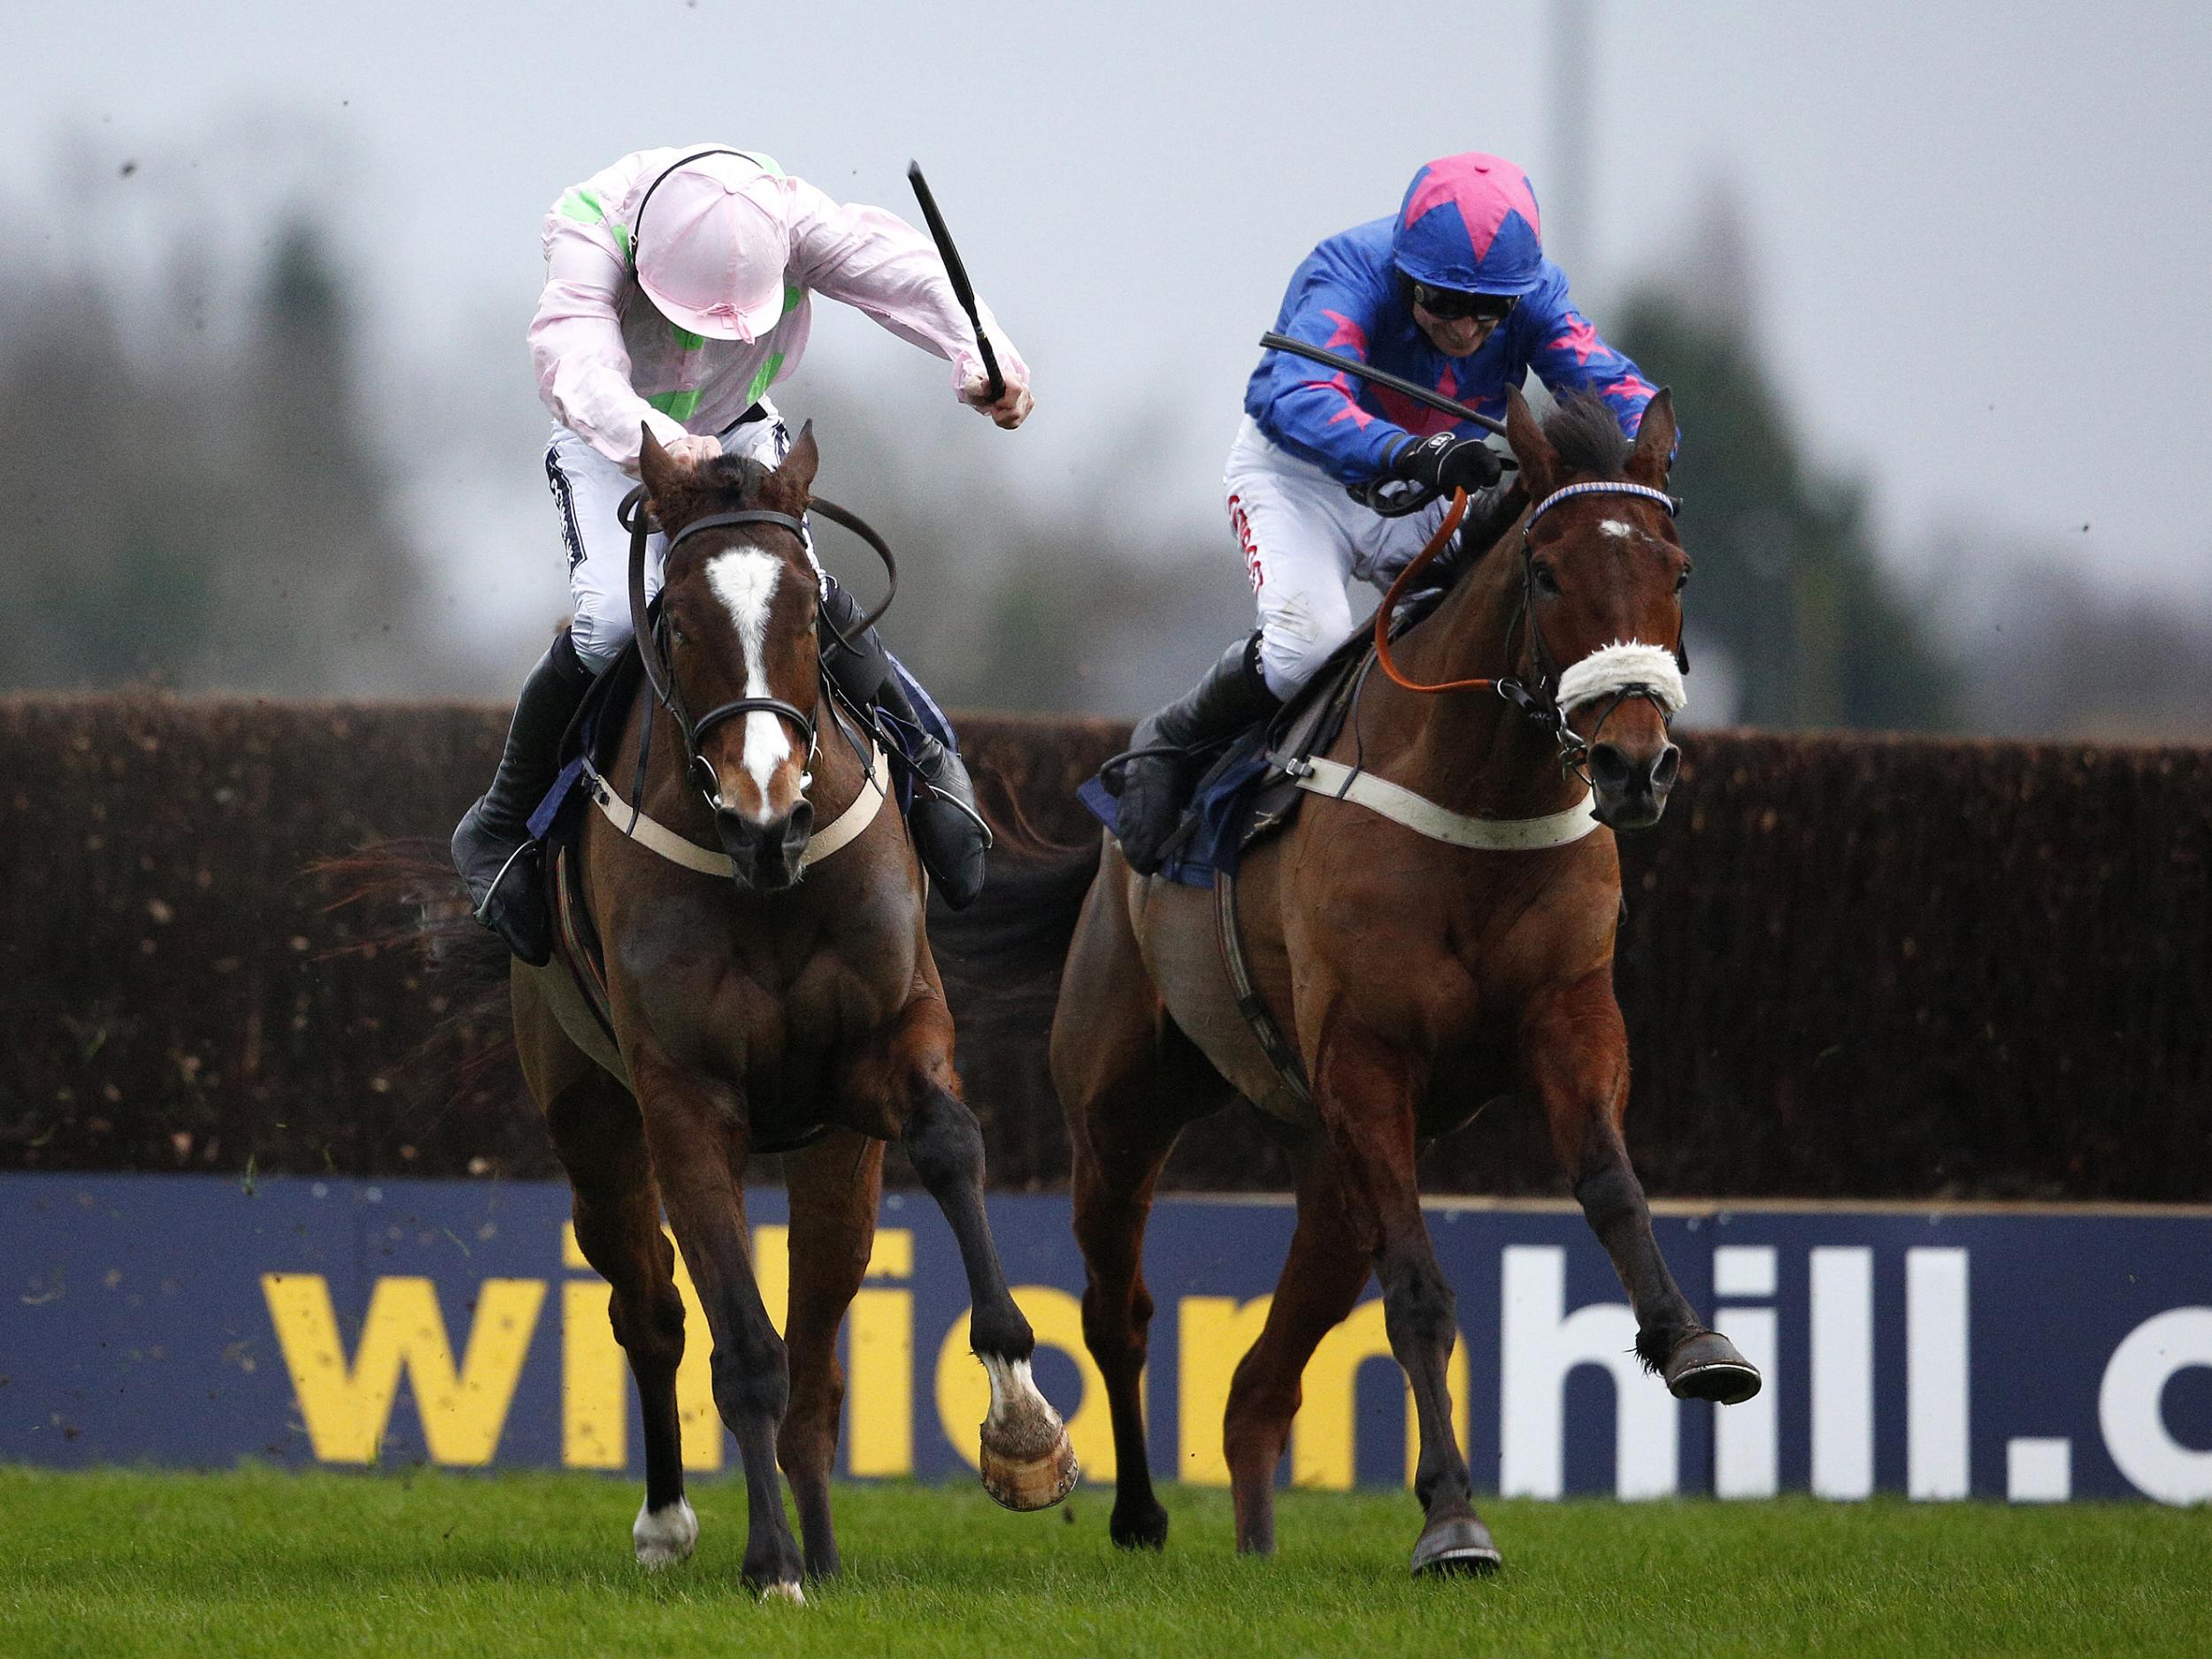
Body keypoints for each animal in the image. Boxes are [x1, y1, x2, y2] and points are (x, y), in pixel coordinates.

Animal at [511, 425, 1079, 1601]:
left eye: (813, 611)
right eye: (679, 621)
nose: (765, 808)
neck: (764, 881)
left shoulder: (887, 1042)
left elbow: (950, 1143)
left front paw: (1023, 1427)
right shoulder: (685, 1104)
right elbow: (740, 1349)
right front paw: (767, 1565)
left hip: (836, 1164)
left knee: (818, 1363)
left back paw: (820, 1543)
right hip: (590, 1119)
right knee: (651, 1310)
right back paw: (674, 1523)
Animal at [1053, 387, 1761, 1575]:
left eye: (1680, 570)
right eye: (1546, 573)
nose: (1633, 766)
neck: (1478, 797)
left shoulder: (1568, 1018)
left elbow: (1614, 1186)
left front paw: (1693, 1341)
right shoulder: (1367, 1062)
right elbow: (1422, 1294)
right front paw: (1453, 1520)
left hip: (1326, 1171)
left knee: (1258, 1390)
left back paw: (1253, 1546)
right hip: (1121, 1109)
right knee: (1120, 1311)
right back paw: (1139, 1513)